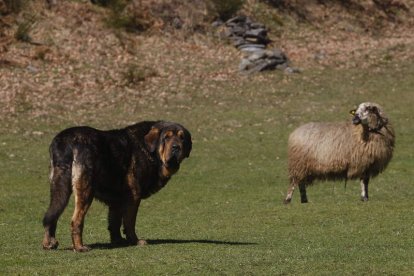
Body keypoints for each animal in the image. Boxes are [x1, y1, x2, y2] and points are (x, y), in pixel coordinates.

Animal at [41, 119, 191, 251]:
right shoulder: (133, 196)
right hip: (85, 190)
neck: (150, 150)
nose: (176, 147)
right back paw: (79, 247)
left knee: (52, 214)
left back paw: (49, 243)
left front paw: (118, 241)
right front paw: (135, 241)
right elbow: (129, 222)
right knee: (76, 221)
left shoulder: (117, 200)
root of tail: (66, 141)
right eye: (166, 137)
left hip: (59, 187)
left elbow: (114, 222)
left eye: (182, 138)